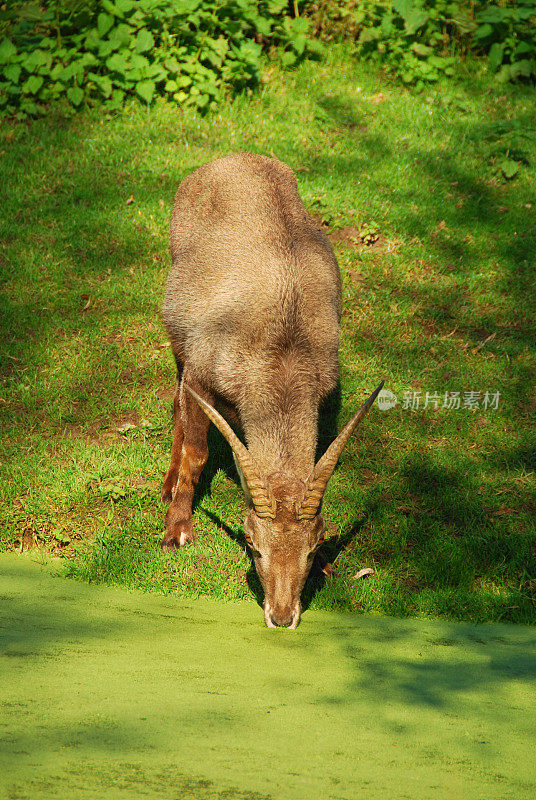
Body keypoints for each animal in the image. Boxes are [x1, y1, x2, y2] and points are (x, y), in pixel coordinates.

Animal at [161, 148, 384, 624]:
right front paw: (178, 529)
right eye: (252, 544)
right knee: (176, 397)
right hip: (177, 332)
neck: (282, 349)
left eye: (312, 549)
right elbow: (198, 450)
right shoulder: (202, 374)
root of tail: (236, 156)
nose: (282, 616)